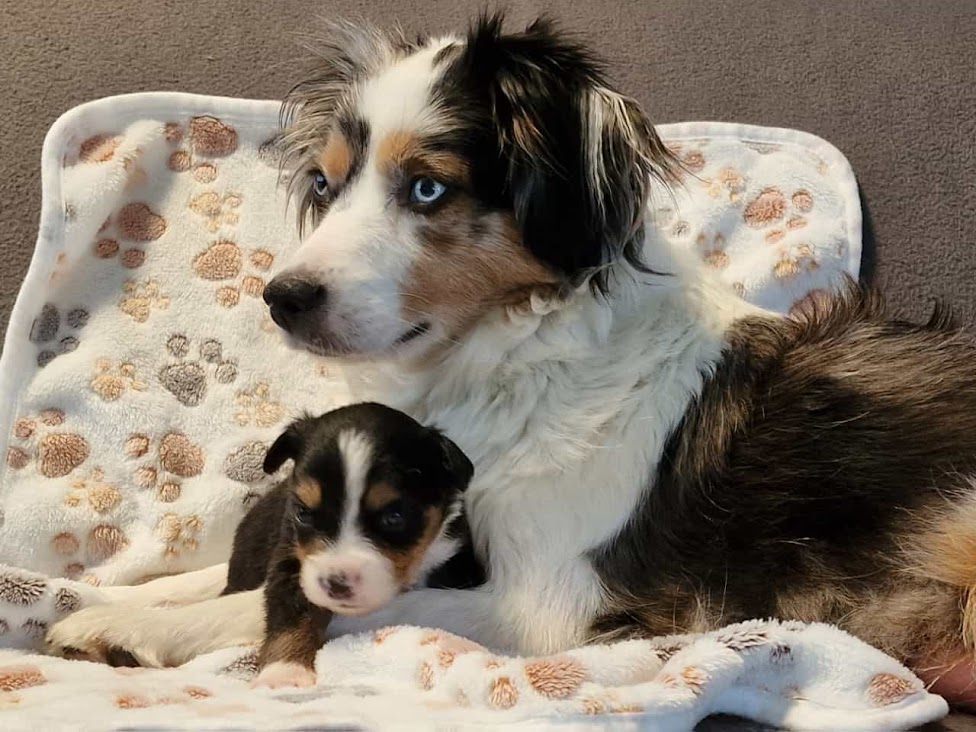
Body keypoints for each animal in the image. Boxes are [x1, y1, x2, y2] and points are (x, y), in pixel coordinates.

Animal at [225, 403, 480, 689]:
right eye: (303, 513)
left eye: (394, 517)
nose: (336, 584)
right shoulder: (290, 559)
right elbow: (291, 614)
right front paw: (283, 674)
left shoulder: (453, 558)